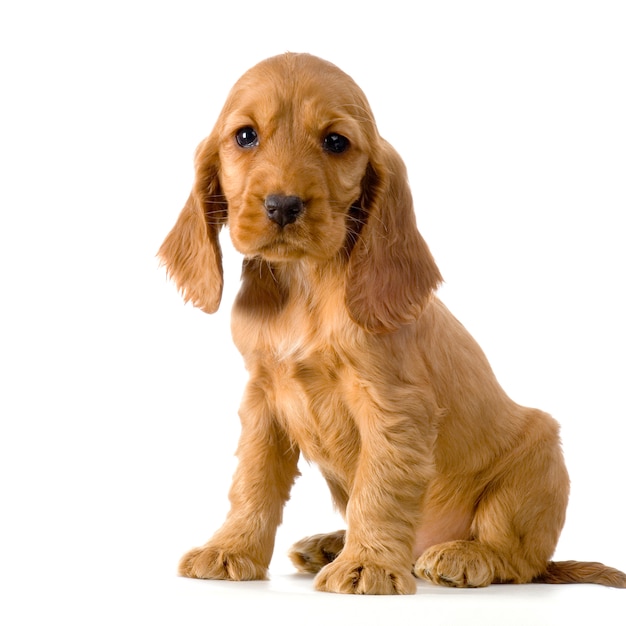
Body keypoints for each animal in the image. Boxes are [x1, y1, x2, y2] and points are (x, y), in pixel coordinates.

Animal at [157, 52, 624, 588]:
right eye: (245, 136)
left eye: (336, 142)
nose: (283, 205)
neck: (305, 284)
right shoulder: (263, 399)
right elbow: (252, 481)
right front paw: (231, 549)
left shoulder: (395, 407)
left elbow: (378, 490)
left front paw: (369, 565)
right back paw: (329, 544)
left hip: (538, 458)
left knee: (518, 558)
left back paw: (464, 555)